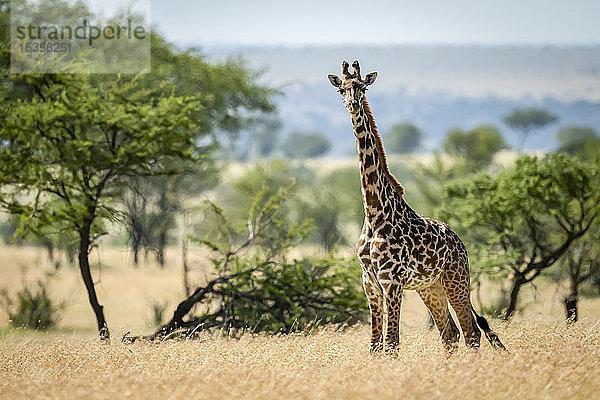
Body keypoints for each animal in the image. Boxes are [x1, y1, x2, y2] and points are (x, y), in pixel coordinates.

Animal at [326, 60, 504, 354]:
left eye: (362, 87)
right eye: (341, 89)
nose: (352, 103)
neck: (373, 212)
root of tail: (460, 243)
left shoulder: (392, 280)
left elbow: (391, 344)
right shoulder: (369, 281)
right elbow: (375, 345)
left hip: (456, 280)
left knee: (471, 332)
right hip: (430, 287)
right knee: (450, 333)